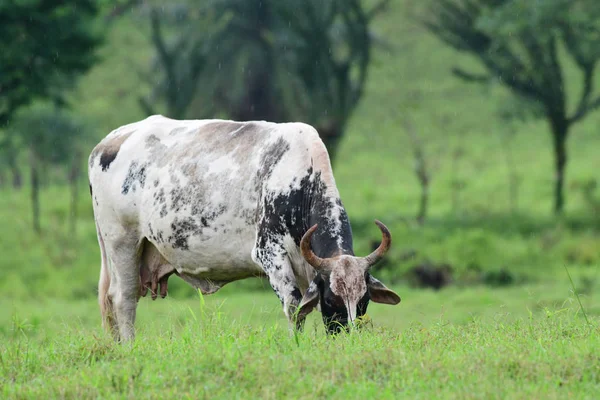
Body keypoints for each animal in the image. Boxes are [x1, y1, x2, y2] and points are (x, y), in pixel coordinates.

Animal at [86, 115, 400, 340]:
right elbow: (294, 307)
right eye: (332, 301)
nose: (349, 338)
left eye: (363, 301)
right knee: (123, 299)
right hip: (122, 242)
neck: (300, 183)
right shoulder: (270, 254)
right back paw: (129, 347)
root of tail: (107, 142)